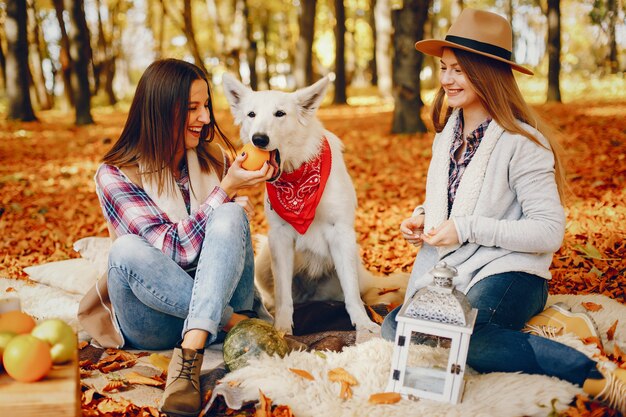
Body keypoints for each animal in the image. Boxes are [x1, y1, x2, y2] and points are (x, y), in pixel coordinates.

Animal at [222, 75, 402, 334]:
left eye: (280, 113)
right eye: (251, 114)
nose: (259, 139)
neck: (299, 180)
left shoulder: (341, 233)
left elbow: (352, 294)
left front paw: (363, 324)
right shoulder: (280, 237)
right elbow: (283, 295)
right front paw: (282, 328)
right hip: (266, 256)